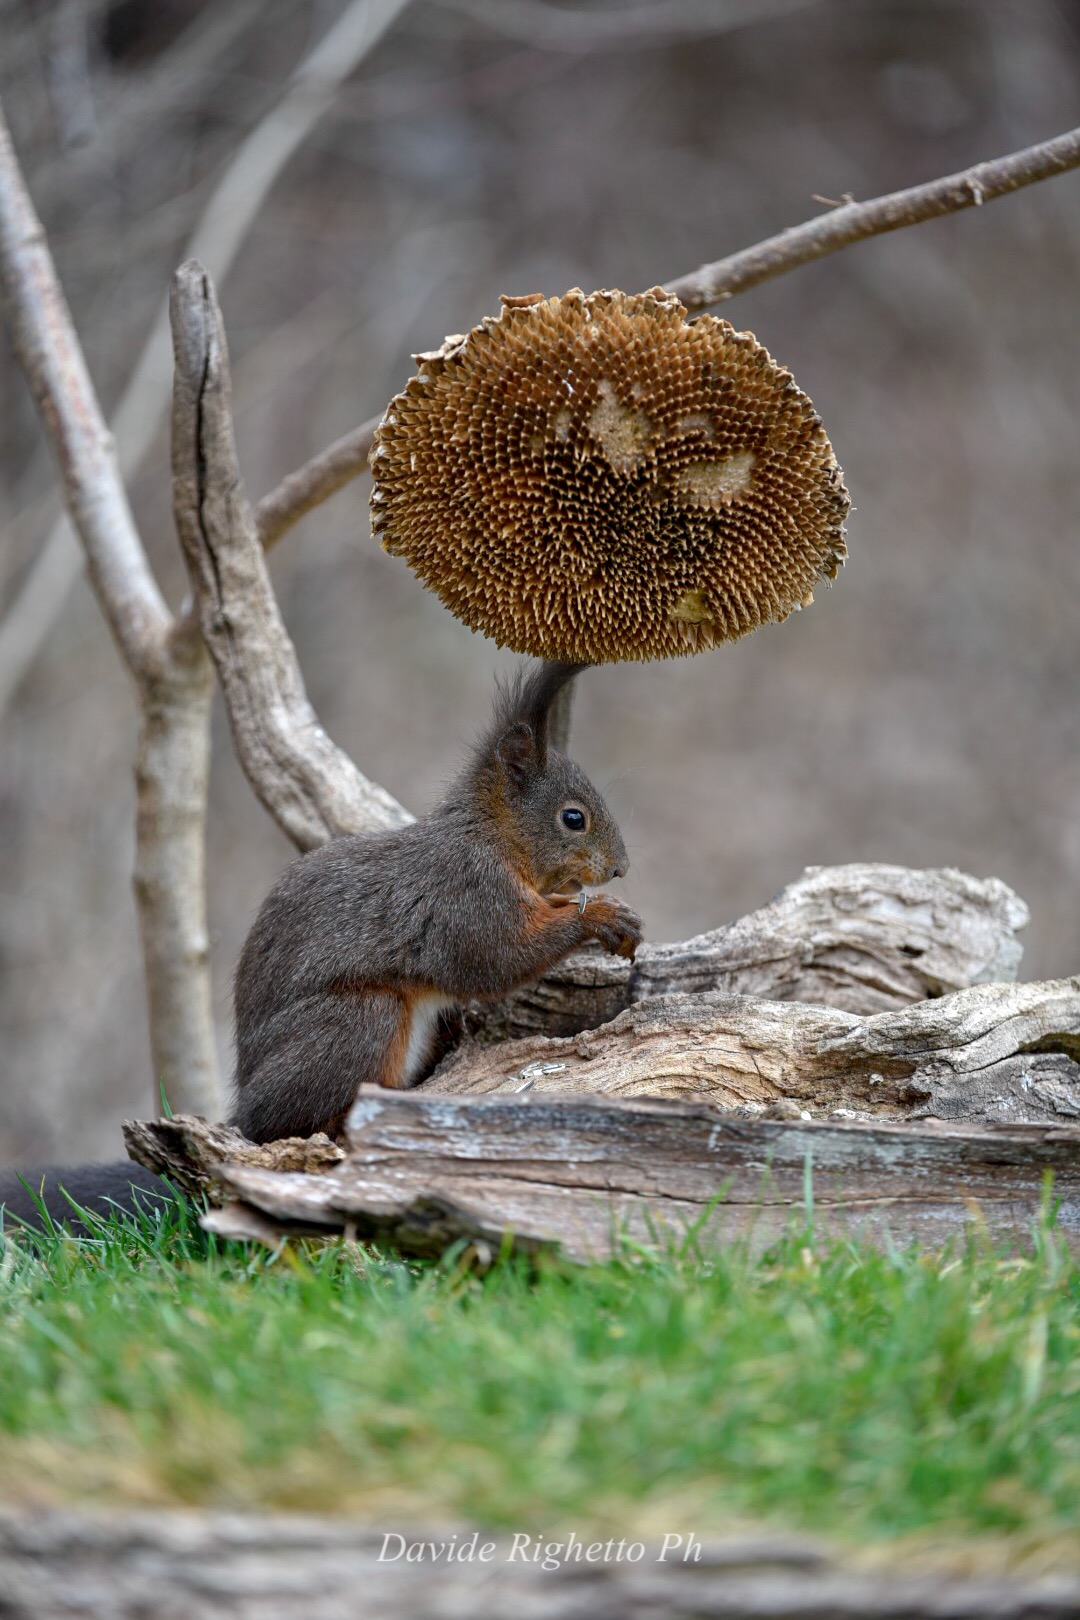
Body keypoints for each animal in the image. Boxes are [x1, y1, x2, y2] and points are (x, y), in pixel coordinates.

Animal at [231, 660, 641, 1144]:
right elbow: (501, 958)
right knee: (282, 1121)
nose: (621, 869)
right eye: (573, 818)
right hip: (359, 1019)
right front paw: (602, 916)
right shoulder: (468, 896)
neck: (493, 837)